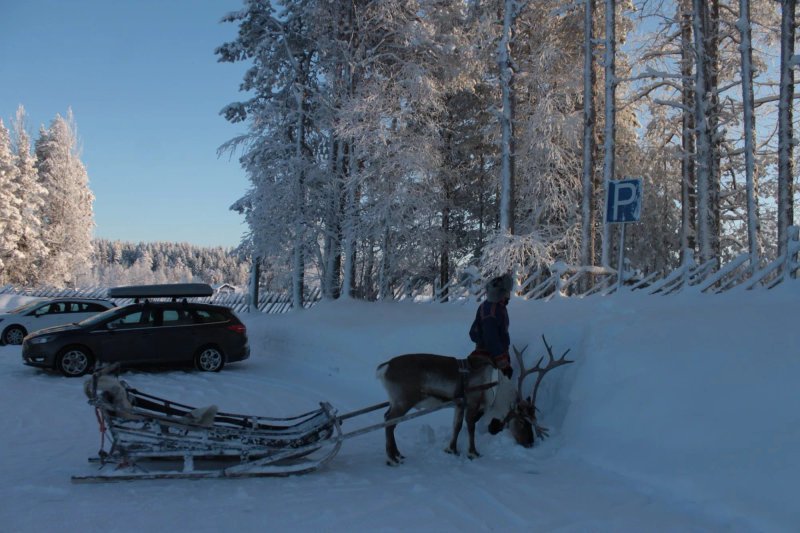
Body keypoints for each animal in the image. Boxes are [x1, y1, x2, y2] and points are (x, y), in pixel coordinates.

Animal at [376, 336, 573, 465]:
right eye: (523, 422)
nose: (530, 443)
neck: (497, 388)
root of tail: (383, 368)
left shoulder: (459, 404)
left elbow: (456, 426)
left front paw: (452, 450)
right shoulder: (472, 402)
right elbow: (470, 426)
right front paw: (473, 453)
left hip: (396, 401)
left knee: (388, 420)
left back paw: (397, 455)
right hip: (403, 401)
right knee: (389, 422)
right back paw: (392, 458)